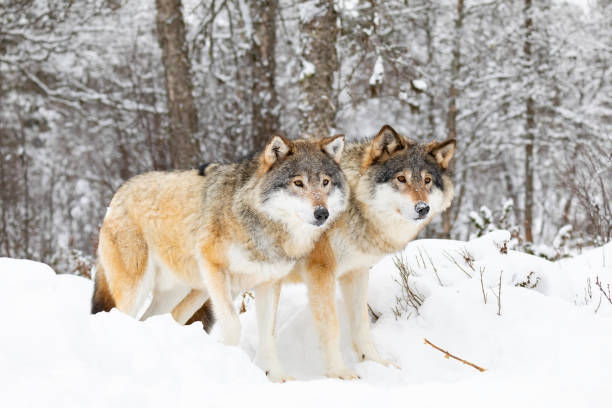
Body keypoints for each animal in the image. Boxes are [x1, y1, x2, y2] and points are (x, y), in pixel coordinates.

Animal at [91, 134, 350, 382]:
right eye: (298, 183)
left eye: (325, 182)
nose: (322, 213)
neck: (264, 226)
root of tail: (118, 193)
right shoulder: (214, 268)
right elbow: (233, 324)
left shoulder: (269, 283)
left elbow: (269, 335)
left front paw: (276, 376)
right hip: (139, 289)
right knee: (120, 316)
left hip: (185, 292)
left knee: (158, 318)